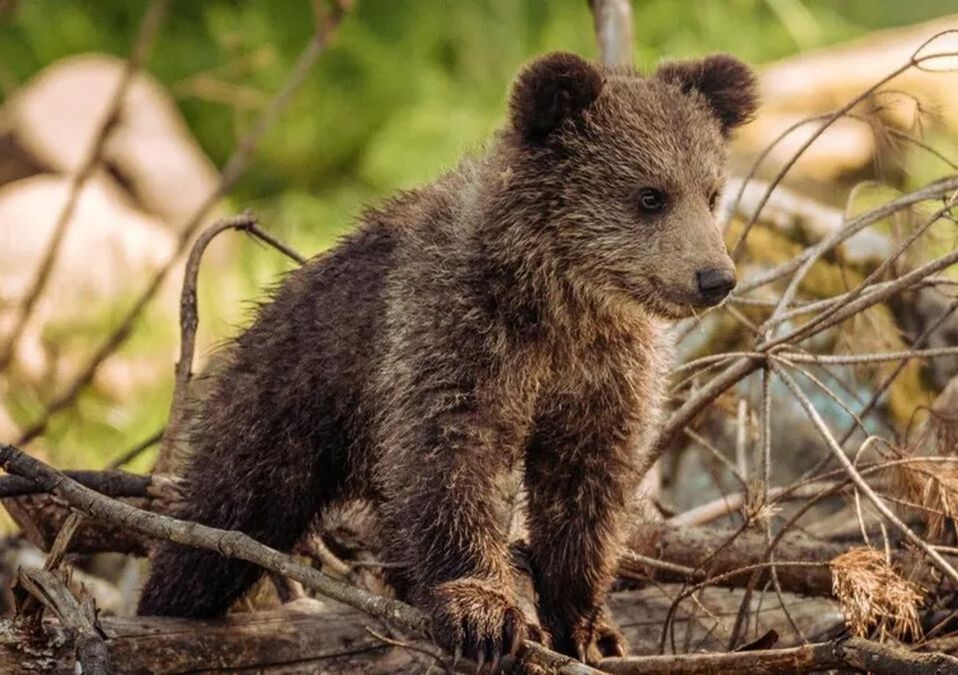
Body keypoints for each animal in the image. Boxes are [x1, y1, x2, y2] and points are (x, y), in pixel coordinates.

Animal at [137, 51, 757, 665]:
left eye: (711, 192)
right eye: (650, 195)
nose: (714, 278)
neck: (559, 302)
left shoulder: (603, 372)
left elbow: (586, 486)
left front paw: (589, 627)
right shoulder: (455, 334)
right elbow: (451, 460)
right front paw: (482, 613)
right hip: (286, 401)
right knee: (223, 517)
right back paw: (168, 604)